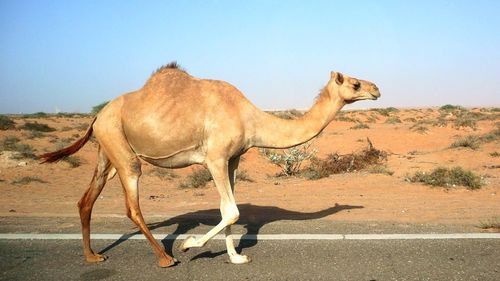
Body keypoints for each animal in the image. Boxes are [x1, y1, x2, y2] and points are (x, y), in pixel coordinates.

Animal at [39, 61, 380, 266]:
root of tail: (97, 115)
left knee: (86, 200)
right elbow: (232, 211)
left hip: (106, 151)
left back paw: (92, 255)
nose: (376, 88)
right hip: (122, 152)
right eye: (353, 83)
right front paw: (190, 245)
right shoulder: (214, 157)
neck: (249, 117)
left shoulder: (233, 159)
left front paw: (236, 258)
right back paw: (165, 257)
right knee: (132, 205)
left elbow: (226, 209)